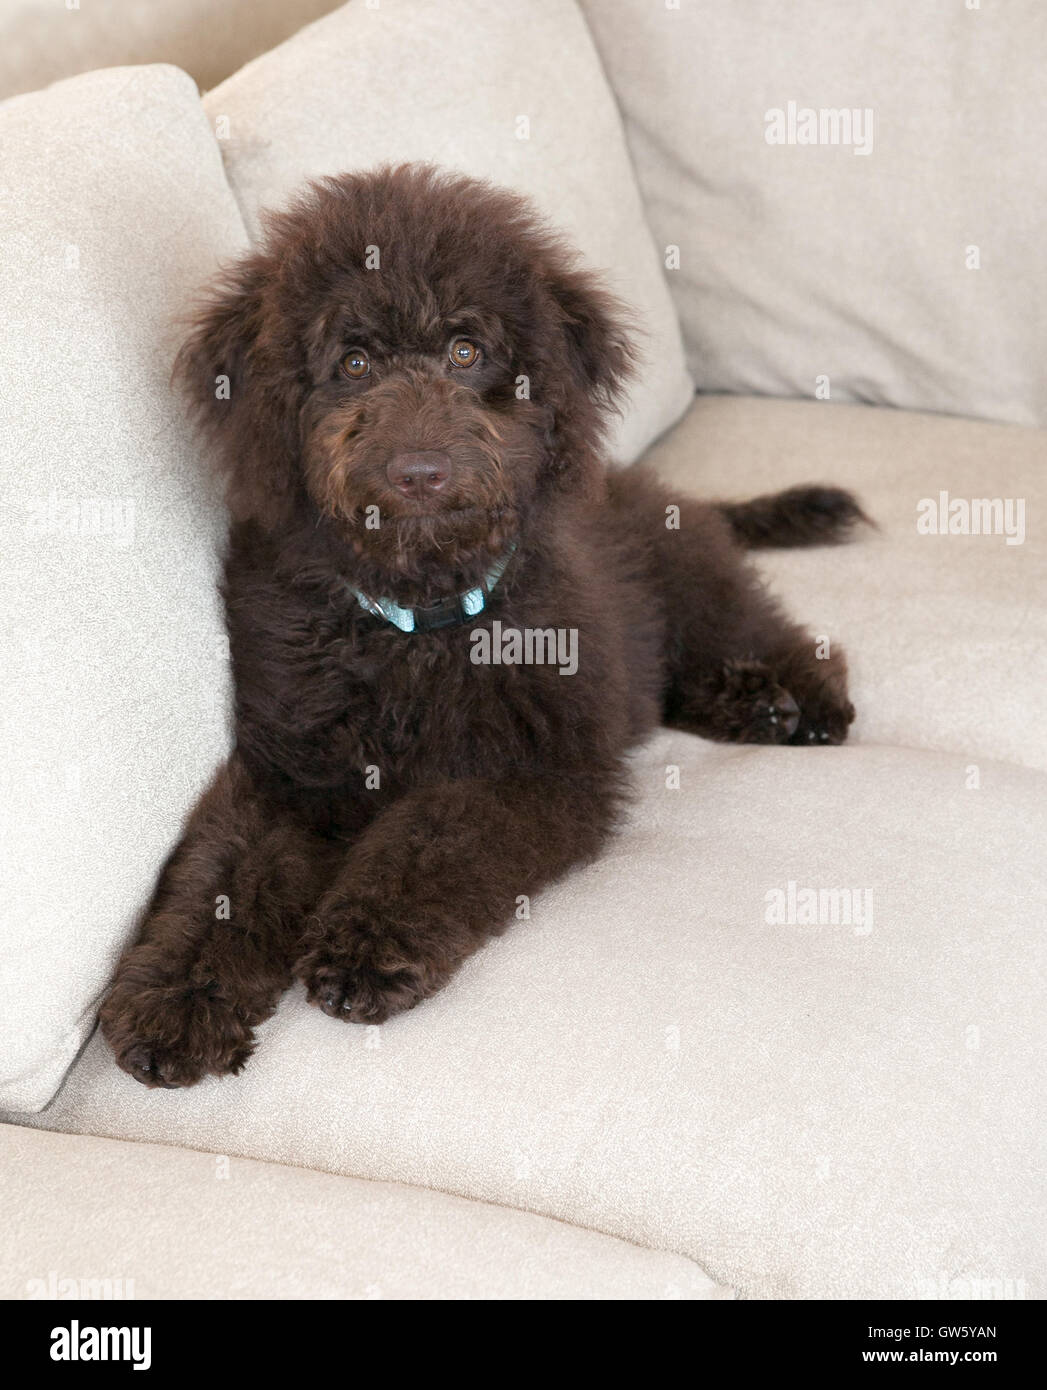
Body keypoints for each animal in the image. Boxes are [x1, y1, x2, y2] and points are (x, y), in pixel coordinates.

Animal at [102, 165, 862, 1084]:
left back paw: (796, 700)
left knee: (761, 628)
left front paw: (365, 948)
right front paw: (178, 999)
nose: (419, 470)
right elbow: (220, 876)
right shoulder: (289, 767)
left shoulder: (531, 764)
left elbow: (430, 843)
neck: (413, 625)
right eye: (353, 362)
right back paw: (752, 706)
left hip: (692, 583)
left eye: (465, 351)